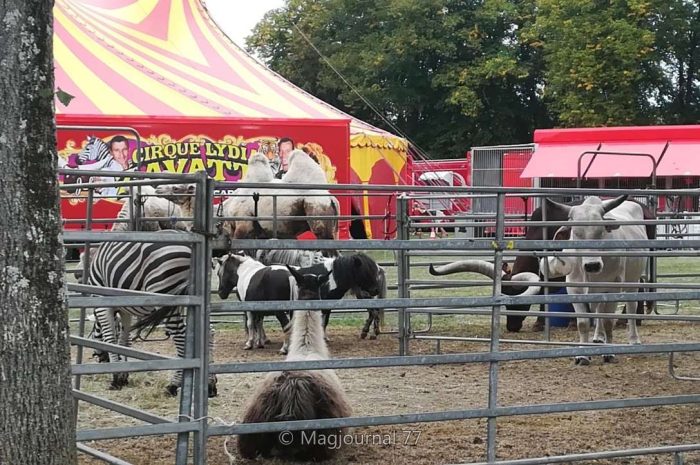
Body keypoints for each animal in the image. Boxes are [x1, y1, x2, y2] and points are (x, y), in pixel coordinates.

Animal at [256, 248, 388, 338]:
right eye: (365, 271)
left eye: (371, 271)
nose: (376, 289)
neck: (332, 277)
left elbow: (324, 322)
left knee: (373, 312)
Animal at [544, 194, 648, 364]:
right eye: (576, 233)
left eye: (601, 231)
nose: (592, 265)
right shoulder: (575, 290)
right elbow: (583, 324)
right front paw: (582, 355)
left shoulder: (613, 289)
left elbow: (608, 322)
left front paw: (609, 354)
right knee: (599, 310)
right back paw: (598, 337)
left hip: (633, 282)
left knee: (631, 307)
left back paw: (633, 339)